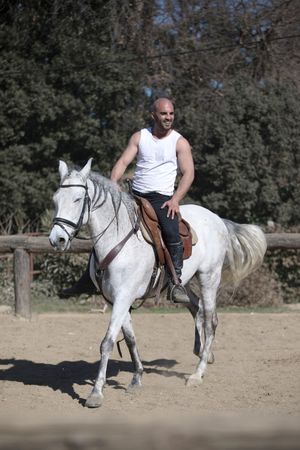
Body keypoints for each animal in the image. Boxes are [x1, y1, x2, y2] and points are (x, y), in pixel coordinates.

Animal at [49, 158, 268, 408]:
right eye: (56, 199)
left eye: (77, 199)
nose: (57, 239)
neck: (118, 239)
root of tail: (217, 218)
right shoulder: (117, 300)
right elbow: (131, 339)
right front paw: (136, 378)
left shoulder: (123, 297)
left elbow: (108, 342)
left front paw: (96, 393)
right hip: (184, 282)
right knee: (196, 308)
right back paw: (204, 352)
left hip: (209, 278)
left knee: (210, 321)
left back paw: (197, 373)